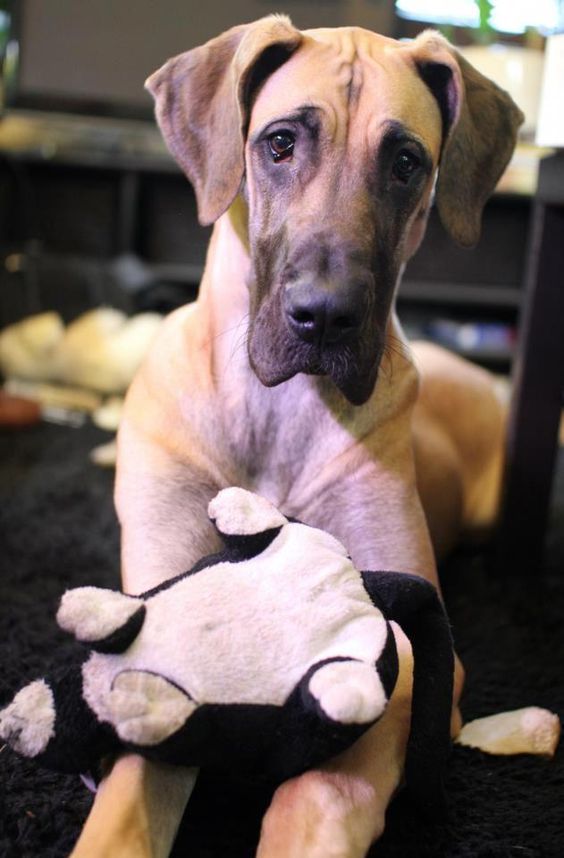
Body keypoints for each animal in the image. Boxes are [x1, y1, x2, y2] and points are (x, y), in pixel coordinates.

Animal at [70, 15, 524, 856]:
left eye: (406, 163)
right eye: (279, 144)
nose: (325, 317)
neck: (275, 409)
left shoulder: (407, 647)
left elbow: (324, 786)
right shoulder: (157, 623)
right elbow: (127, 797)